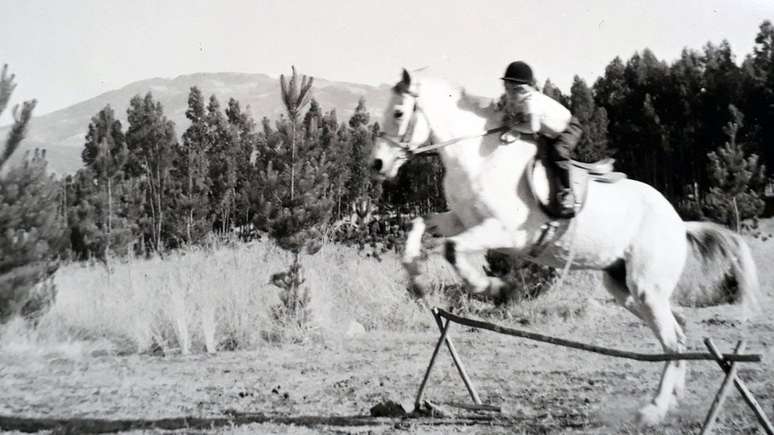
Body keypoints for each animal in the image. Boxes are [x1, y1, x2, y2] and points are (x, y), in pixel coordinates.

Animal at [366, 70, 760, 428]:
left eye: (398, 113)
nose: (377, 165)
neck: (478, 159)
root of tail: (678, 223)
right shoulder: (460, 219)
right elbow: (422, 226)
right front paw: (416, 277)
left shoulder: (506, 232)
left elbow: (452, 250)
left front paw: (491, 286)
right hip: (624, 288)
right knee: (675, 332)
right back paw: (671, 400)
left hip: (646, 286)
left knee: (673, 339)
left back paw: (653, 411)